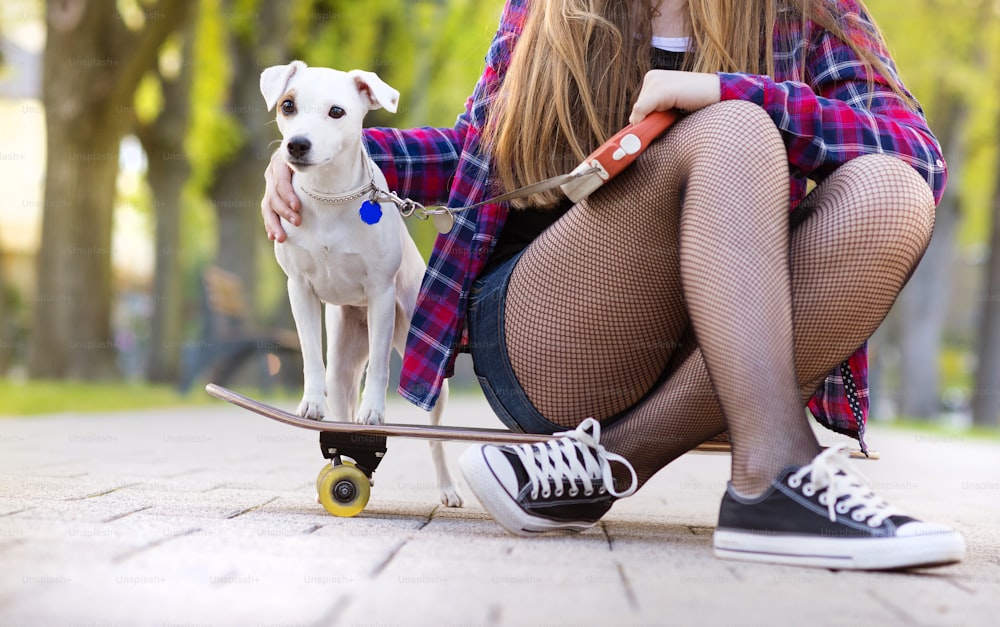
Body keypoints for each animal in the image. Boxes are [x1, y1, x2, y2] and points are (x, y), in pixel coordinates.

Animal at [258, 61, 460, 508]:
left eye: (337, 112)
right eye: (287, 105)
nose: (297, 145)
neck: (329, 197)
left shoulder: (381, 295)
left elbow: (382, 368)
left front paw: (375, 412)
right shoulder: (299, 289)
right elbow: (310, 354)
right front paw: (311, 402)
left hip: (422, 362)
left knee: (436, 437)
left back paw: (448, 488)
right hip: (345, 357)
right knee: (342, 401)